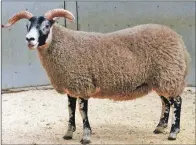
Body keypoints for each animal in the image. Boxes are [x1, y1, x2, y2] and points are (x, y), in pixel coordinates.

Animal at [2, 9, 191, 144]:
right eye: (27, 26)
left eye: (46, 26)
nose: (30, 39)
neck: (63, 45)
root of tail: (179, 41)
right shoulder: (71, 85)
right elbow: (70, 109)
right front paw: (68, 133)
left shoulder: (82, 83)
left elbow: (82, 111)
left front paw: (86, 136)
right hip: (160, 79)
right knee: (166, 102)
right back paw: (160, 127)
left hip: (169, 75)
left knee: (177, 102)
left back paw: (173, 132)